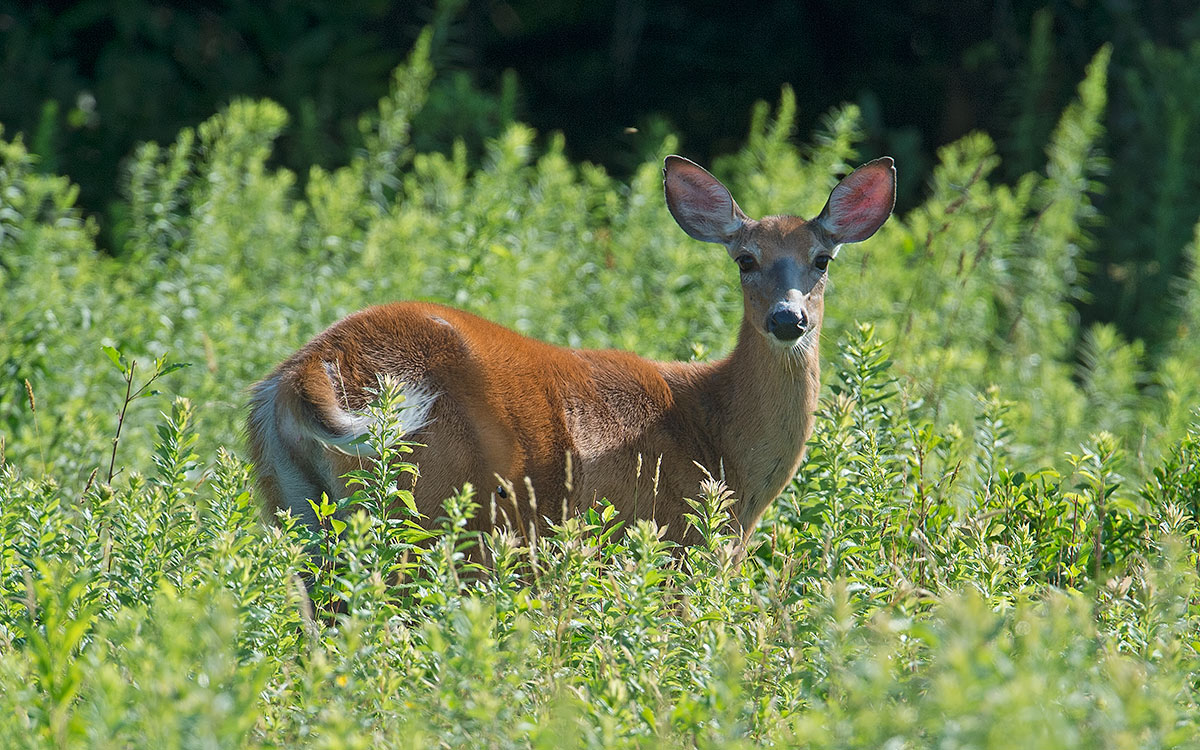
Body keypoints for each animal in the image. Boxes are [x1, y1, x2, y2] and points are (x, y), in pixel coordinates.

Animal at [248, 154, 897, 547]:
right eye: (745, 259)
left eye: (822, 259)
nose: (788, 318)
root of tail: (303, 373)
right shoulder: (673, 539)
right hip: (435, 502)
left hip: (293, 505)